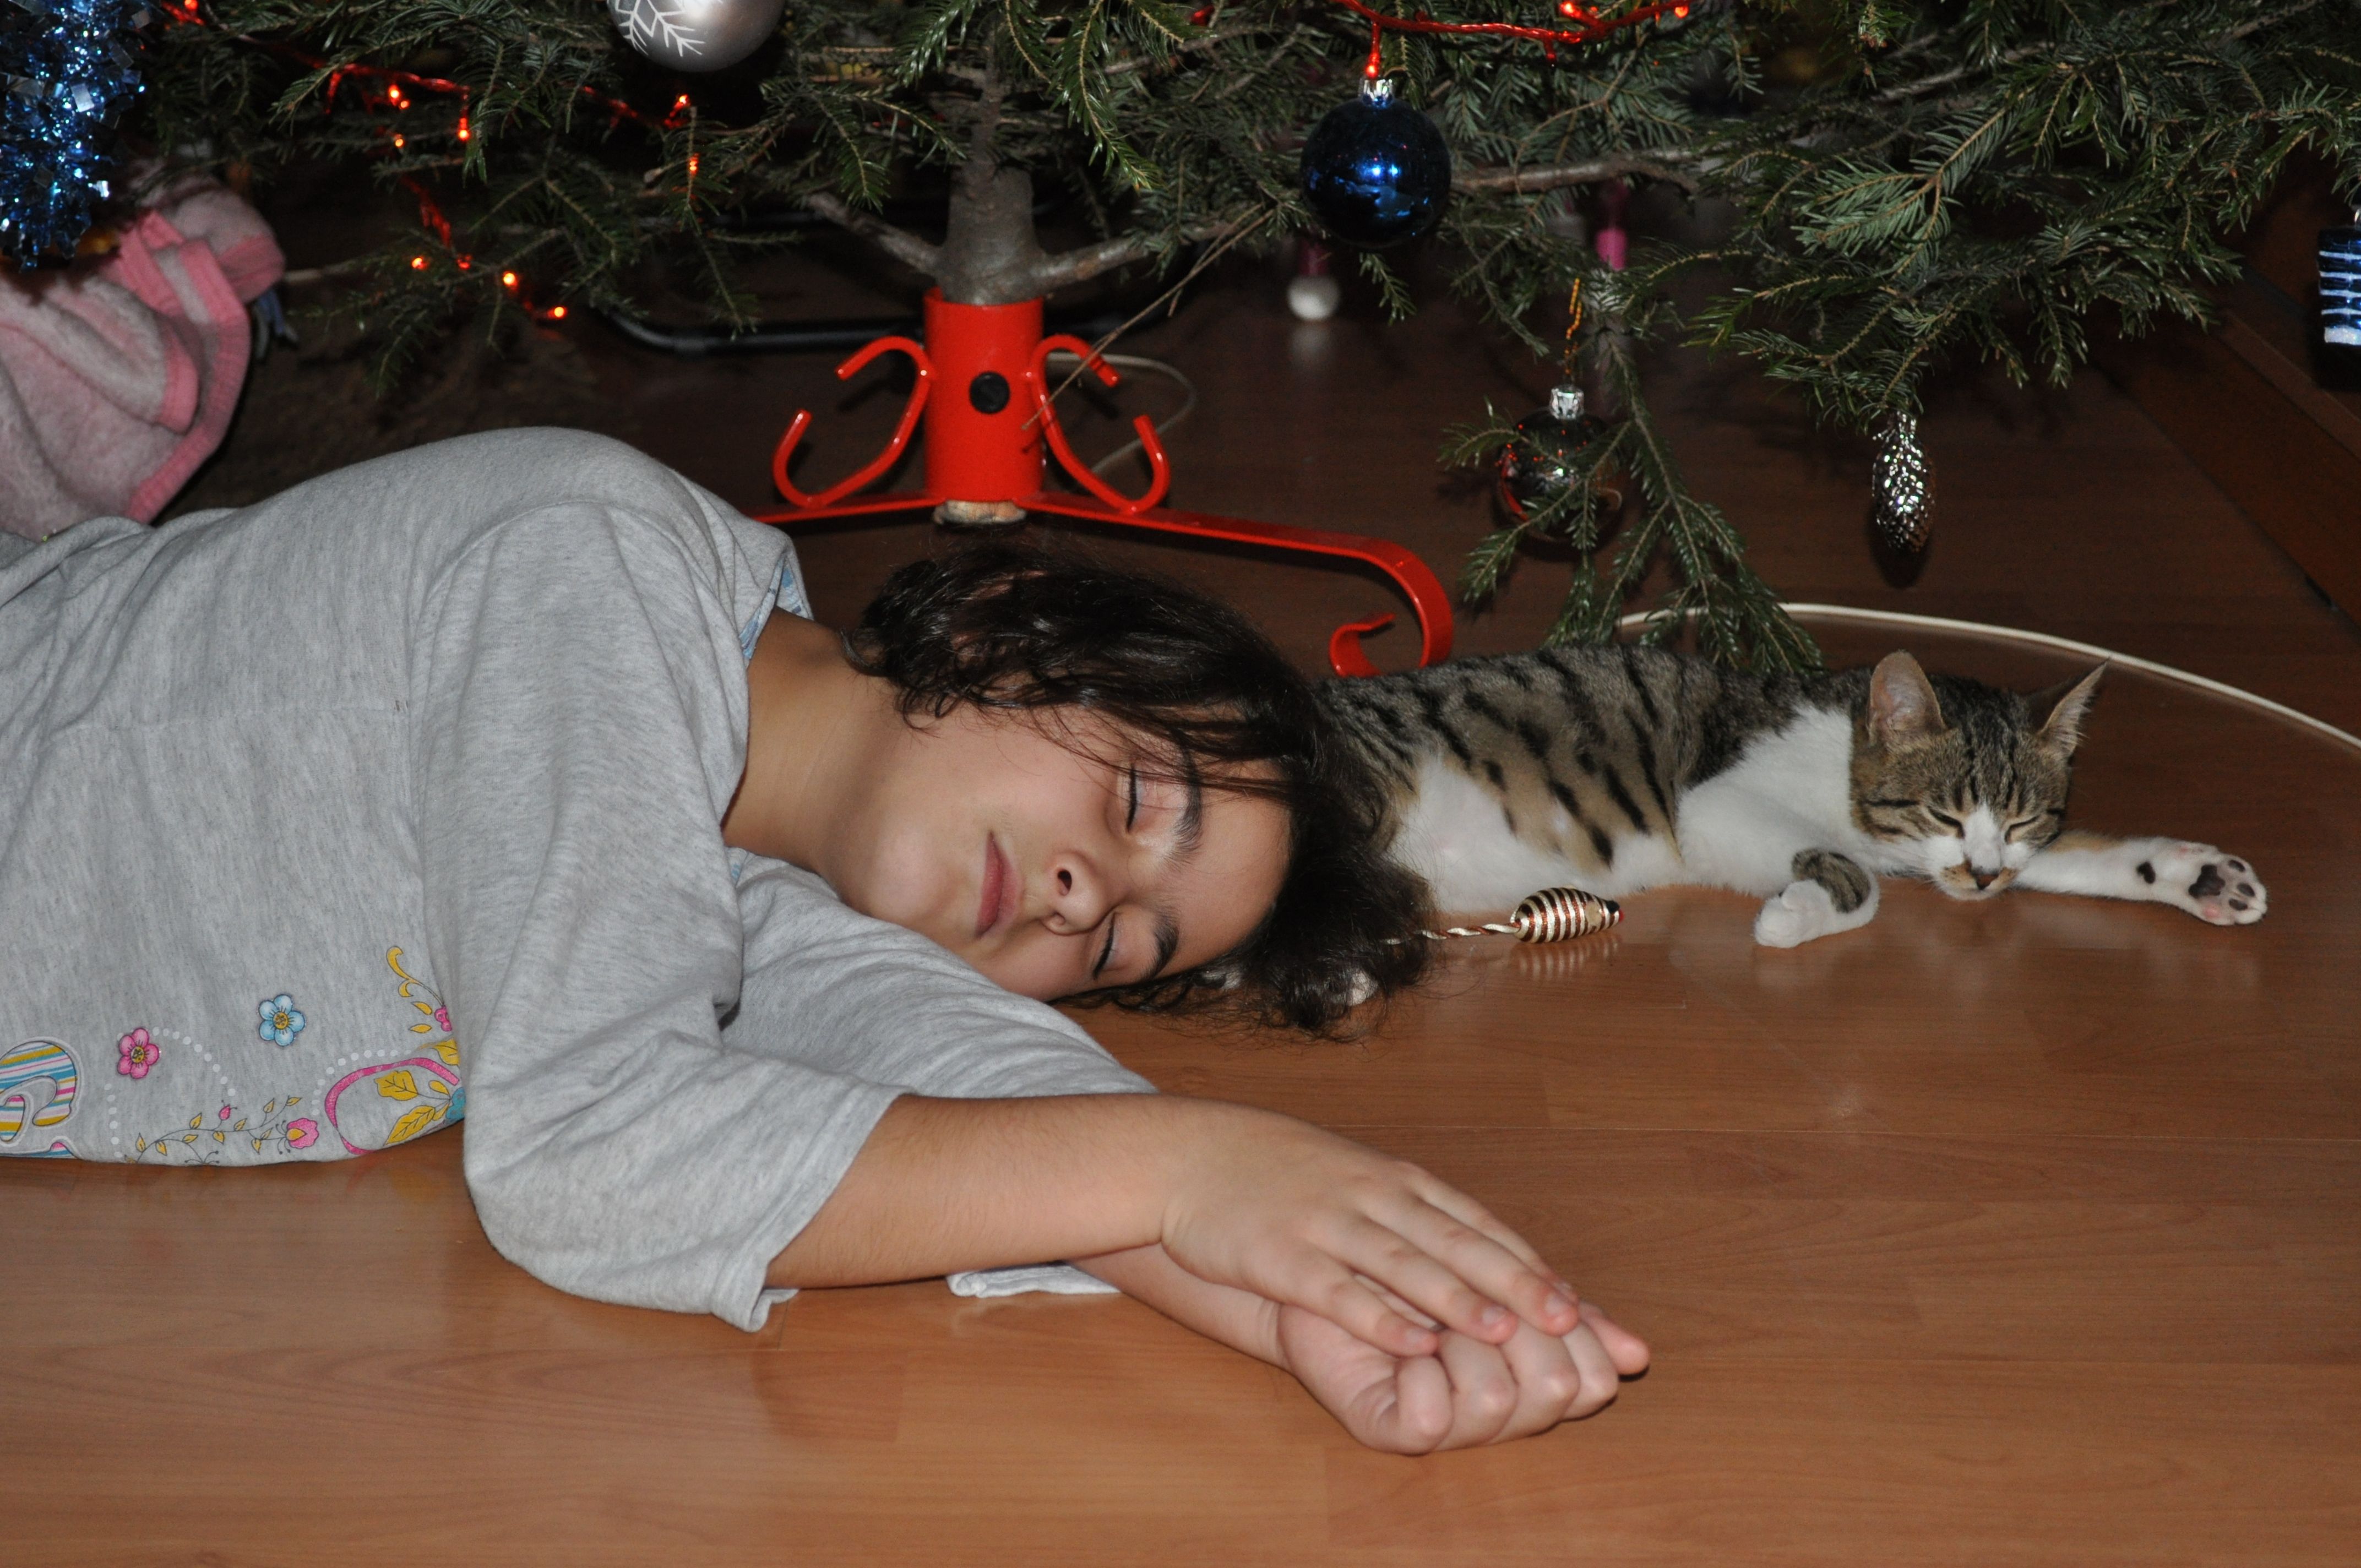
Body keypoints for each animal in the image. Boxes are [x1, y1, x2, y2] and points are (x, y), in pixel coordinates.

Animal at [1319, 645, 2267, 946]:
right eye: (1944, 810)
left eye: (2025, 816)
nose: (1985, 875)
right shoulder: (1712, 804)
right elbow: (1862, 879)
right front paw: (1793, 915)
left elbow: (2082, 854)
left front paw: (2199, 876)